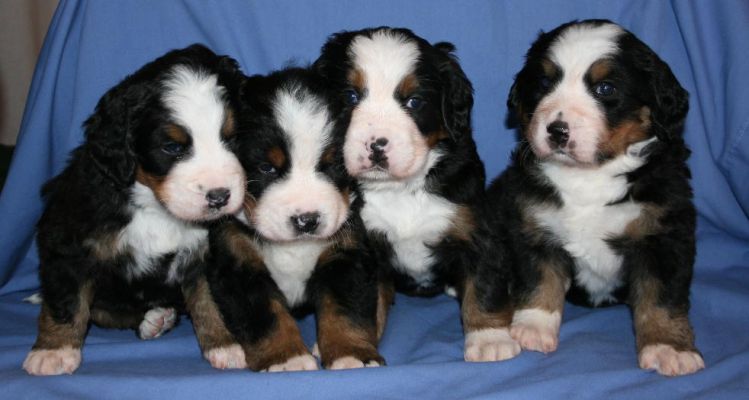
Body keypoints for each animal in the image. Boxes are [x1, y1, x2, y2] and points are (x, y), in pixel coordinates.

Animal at [22, 43, 245, 376]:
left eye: (232, 138)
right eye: (172, 148)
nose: (219, 196)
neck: (156, 208)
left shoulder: (208, 253)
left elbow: (211, 301)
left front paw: (225, 345)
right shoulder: (69, 243)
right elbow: (67, 300)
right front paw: (53, 351)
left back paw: (158, 319)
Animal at [187, 69, 386, 372]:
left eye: (332, 165)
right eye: (266, 168)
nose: (307, 220)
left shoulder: (345, 251)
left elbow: (346, 310)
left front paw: (351, 355)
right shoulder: (238, 258)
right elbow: (266, 316)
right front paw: (287, 358)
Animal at [312, 26, 520, 360]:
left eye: (413, 102)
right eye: (350, 96)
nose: (376, 145)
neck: (400, 189)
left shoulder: (476, 229)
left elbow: (484, 287)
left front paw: (490, 340)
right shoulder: (363, 246)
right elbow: (361, 303)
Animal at [488, 18, 704, 376]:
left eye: (605, 89)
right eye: (544, 83)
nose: (557, 130)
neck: (588, 176)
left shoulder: (664, 235)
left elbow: (661, 298)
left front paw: (669, 348)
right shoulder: (533, 224)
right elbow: (539, 279)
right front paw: (533, 327)